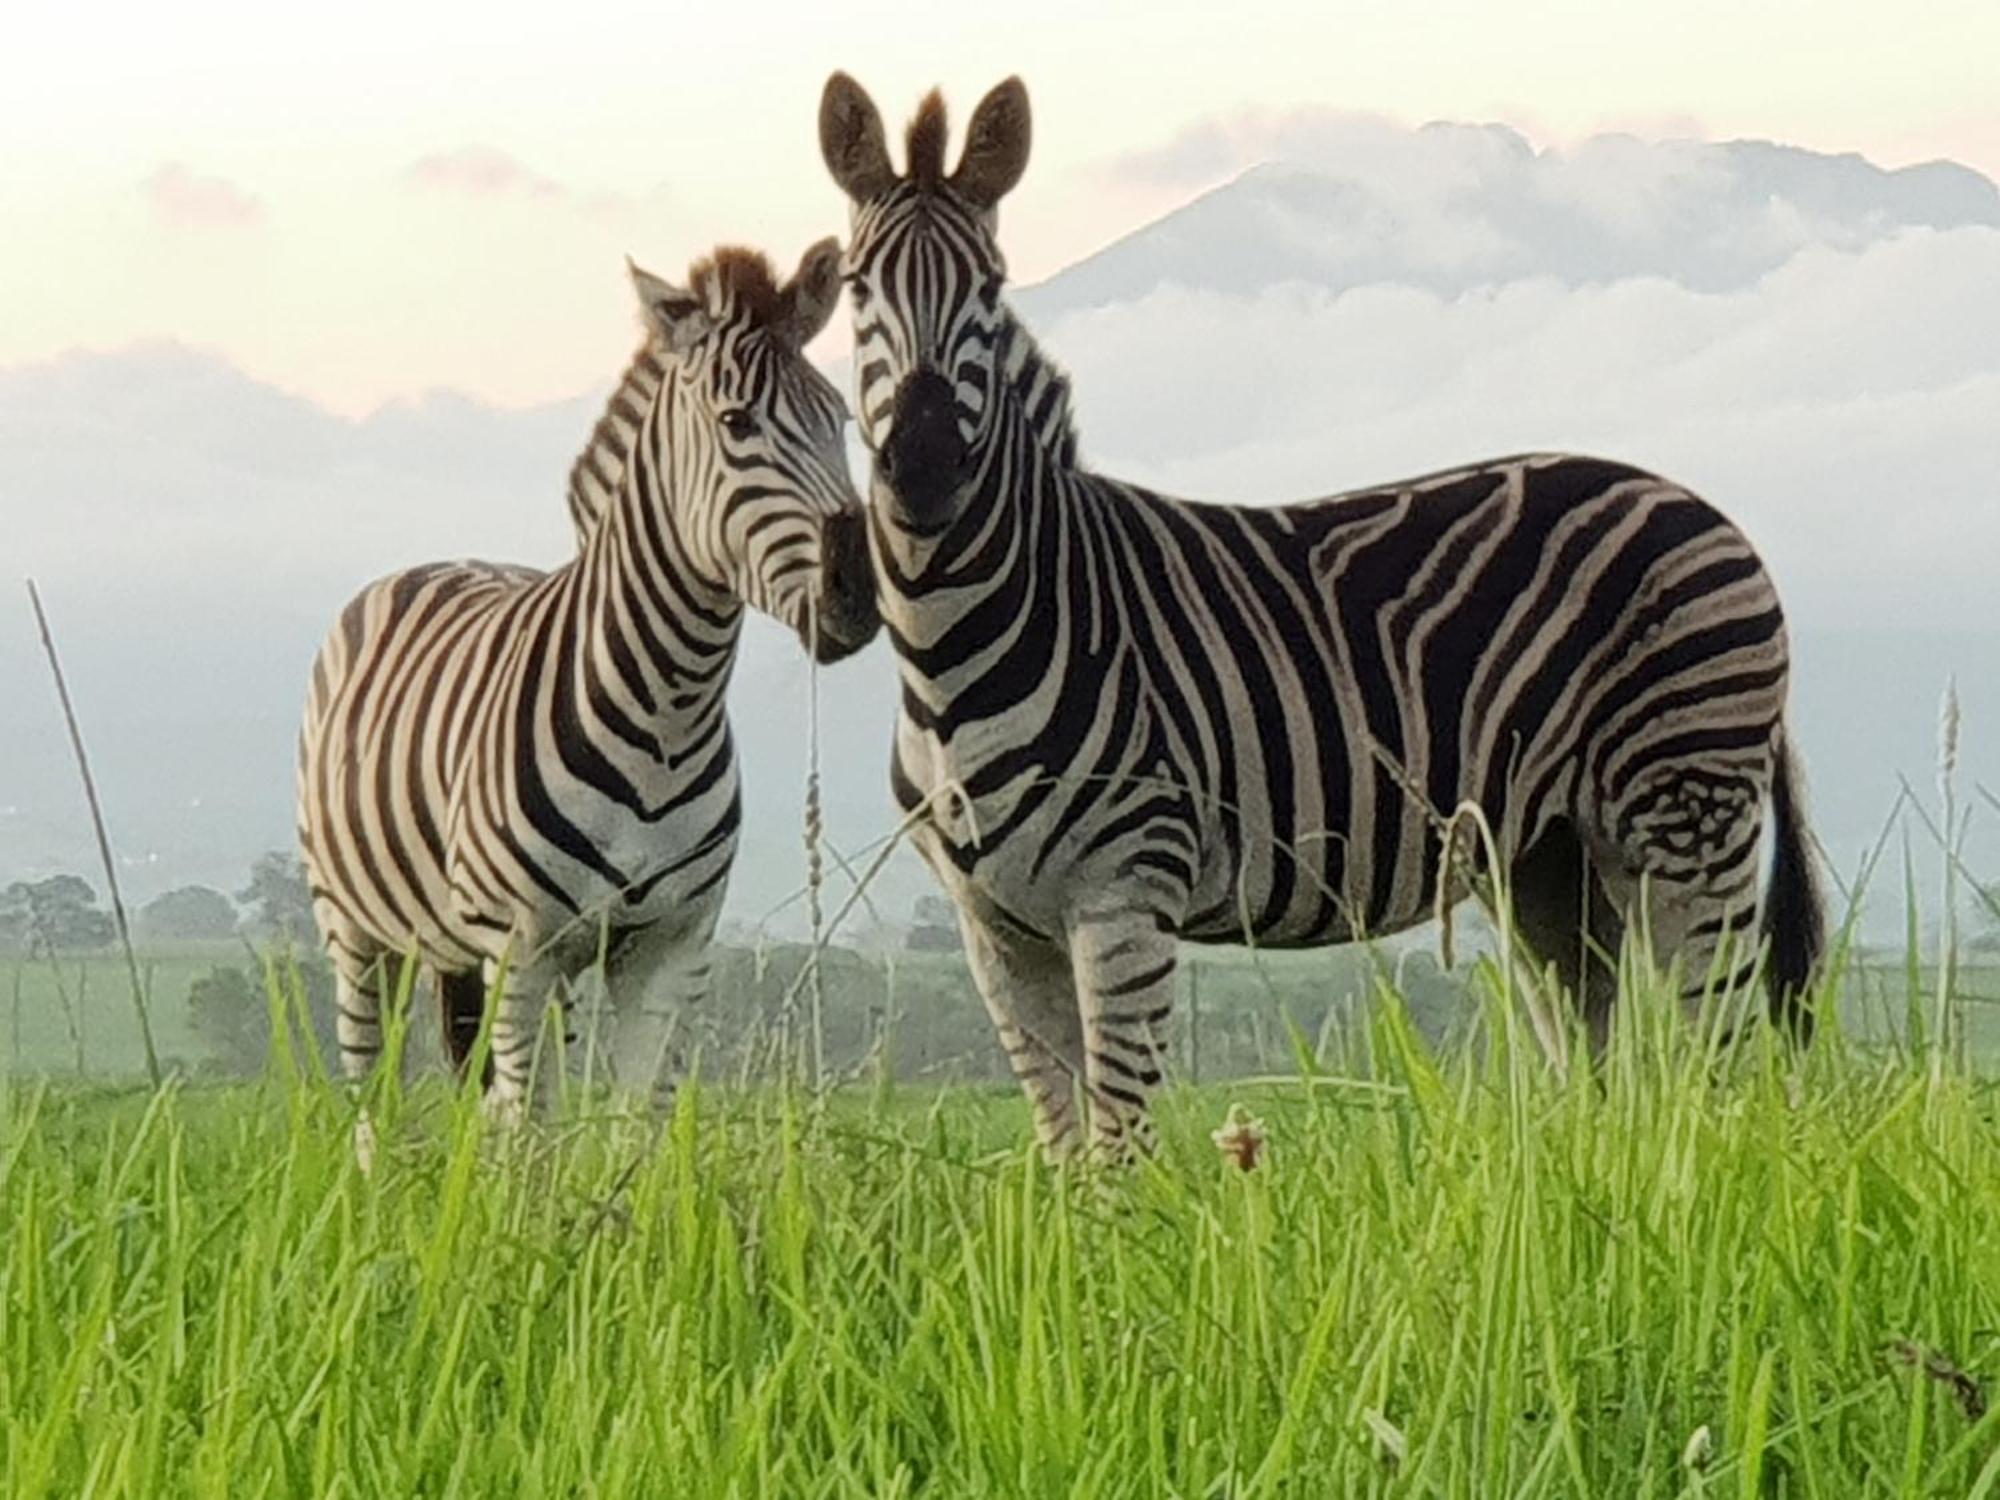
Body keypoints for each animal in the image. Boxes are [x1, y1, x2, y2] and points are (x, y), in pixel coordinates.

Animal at [294, 241, 876, 1120]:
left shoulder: (669, 950)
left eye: (839, 418)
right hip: (357, 930)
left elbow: (636, 1128)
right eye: (736, 423)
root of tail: (434, 560)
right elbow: (531, 1132)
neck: (668, 709)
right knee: (377, 1100)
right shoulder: (523, 949)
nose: (861, 591)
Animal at [816, 73, 1832, 1160]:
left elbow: (1119, 1152)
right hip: (1549, 857)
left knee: (1715, 1059)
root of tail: (1711, 515)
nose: (924, 467)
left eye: (993, 288)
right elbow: (1063, 1149)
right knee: (1601, 1067)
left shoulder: (1124, 896)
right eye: (854, 289)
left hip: (1684, 808)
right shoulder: (994, 929)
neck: (959, 645)